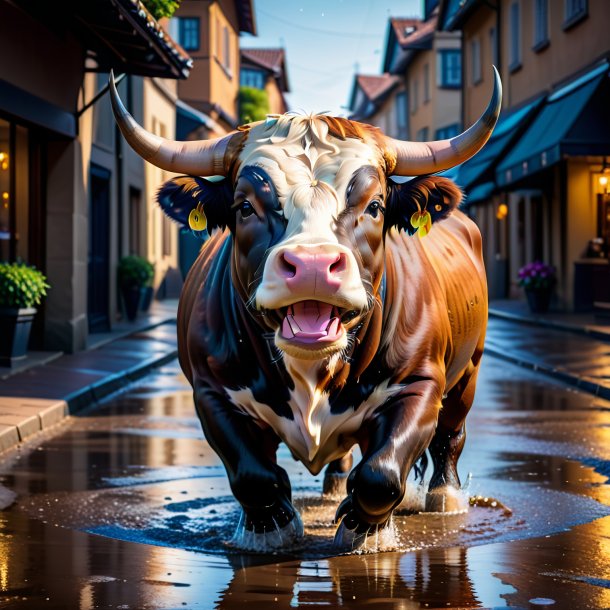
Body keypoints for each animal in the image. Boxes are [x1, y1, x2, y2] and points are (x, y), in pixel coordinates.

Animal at [108, 69, 498, 548]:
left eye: (374, 206)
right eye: (245, 206)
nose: (312, 265)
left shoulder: (420, 381)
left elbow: (382, 473)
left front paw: (364, 528)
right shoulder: (211, 390)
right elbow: (253, 474)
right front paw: (270, 525)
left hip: (469, 369)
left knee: (450, 435)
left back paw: (444, 496)